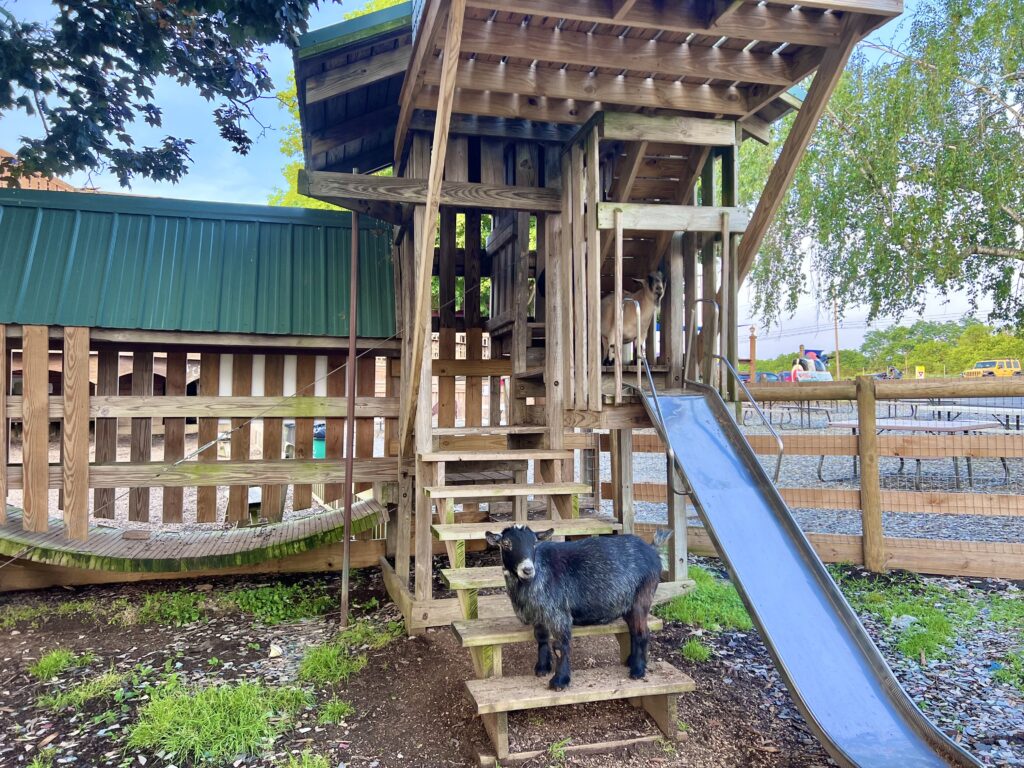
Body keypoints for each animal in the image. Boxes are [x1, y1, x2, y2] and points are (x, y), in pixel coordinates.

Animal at [485, 528, 667, 696]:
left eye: (534, 543)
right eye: (506, 543)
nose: (528, 569)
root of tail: (652, 550)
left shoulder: (559, 614)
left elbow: (560, 646)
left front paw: (560, 681)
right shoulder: (539, 614)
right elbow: (541, 638)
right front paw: (542, 668)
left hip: (641, 599)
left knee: (642, 633)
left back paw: (638, 670)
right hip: (628, 605)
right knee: (634, 631)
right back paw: (632, 662)